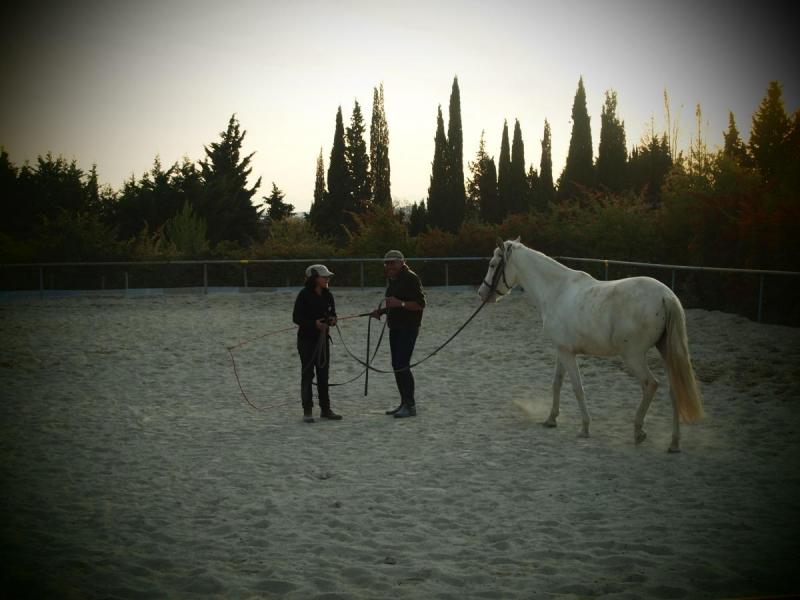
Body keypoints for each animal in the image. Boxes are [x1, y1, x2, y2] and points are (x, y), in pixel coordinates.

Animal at [478, 238, 704, 452]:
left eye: (492, 264)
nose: (482, 294)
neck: (556, 291)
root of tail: (666, 296)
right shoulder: (562, 350)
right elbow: (557, 383)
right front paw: (551, 419)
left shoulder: (567, 353)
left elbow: (577, 388)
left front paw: (585, 428)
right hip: (665, 351)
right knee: (674, 391)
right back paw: (674, 443)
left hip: (633, 357)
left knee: (651, 384)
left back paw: (639, 432)